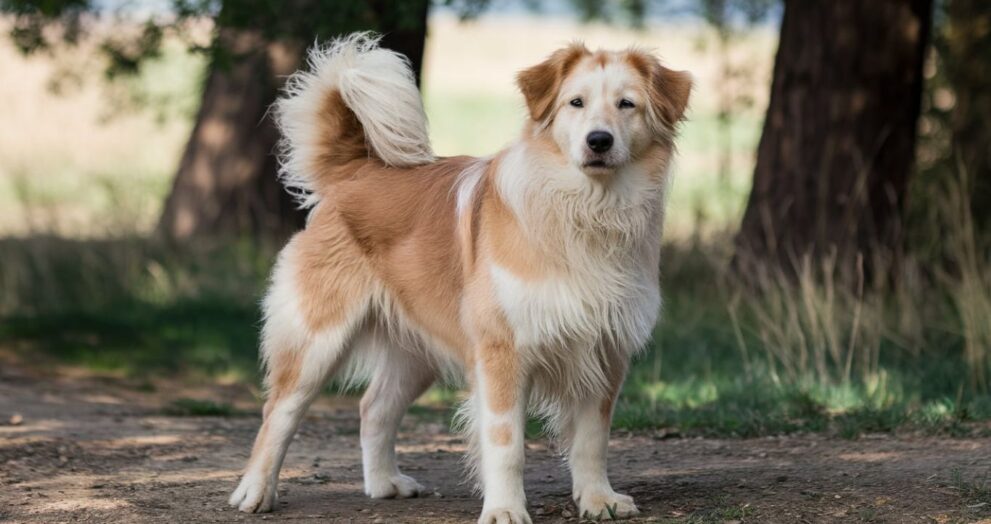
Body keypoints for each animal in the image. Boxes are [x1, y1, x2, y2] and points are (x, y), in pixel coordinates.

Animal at [231, 33, 696, 524]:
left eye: (627, 104)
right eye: (576, 102)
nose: (599, 141)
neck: (585, 210)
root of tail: (357, 170)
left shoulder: (605, 351)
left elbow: (592, 440)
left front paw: (598, 499)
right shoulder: (501, 352)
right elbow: (506, 443)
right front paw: (505, 509)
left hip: (416, 353)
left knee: (374, 407)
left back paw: (384, 483)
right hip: (316, 338)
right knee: (278, 413)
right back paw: (255, 491)